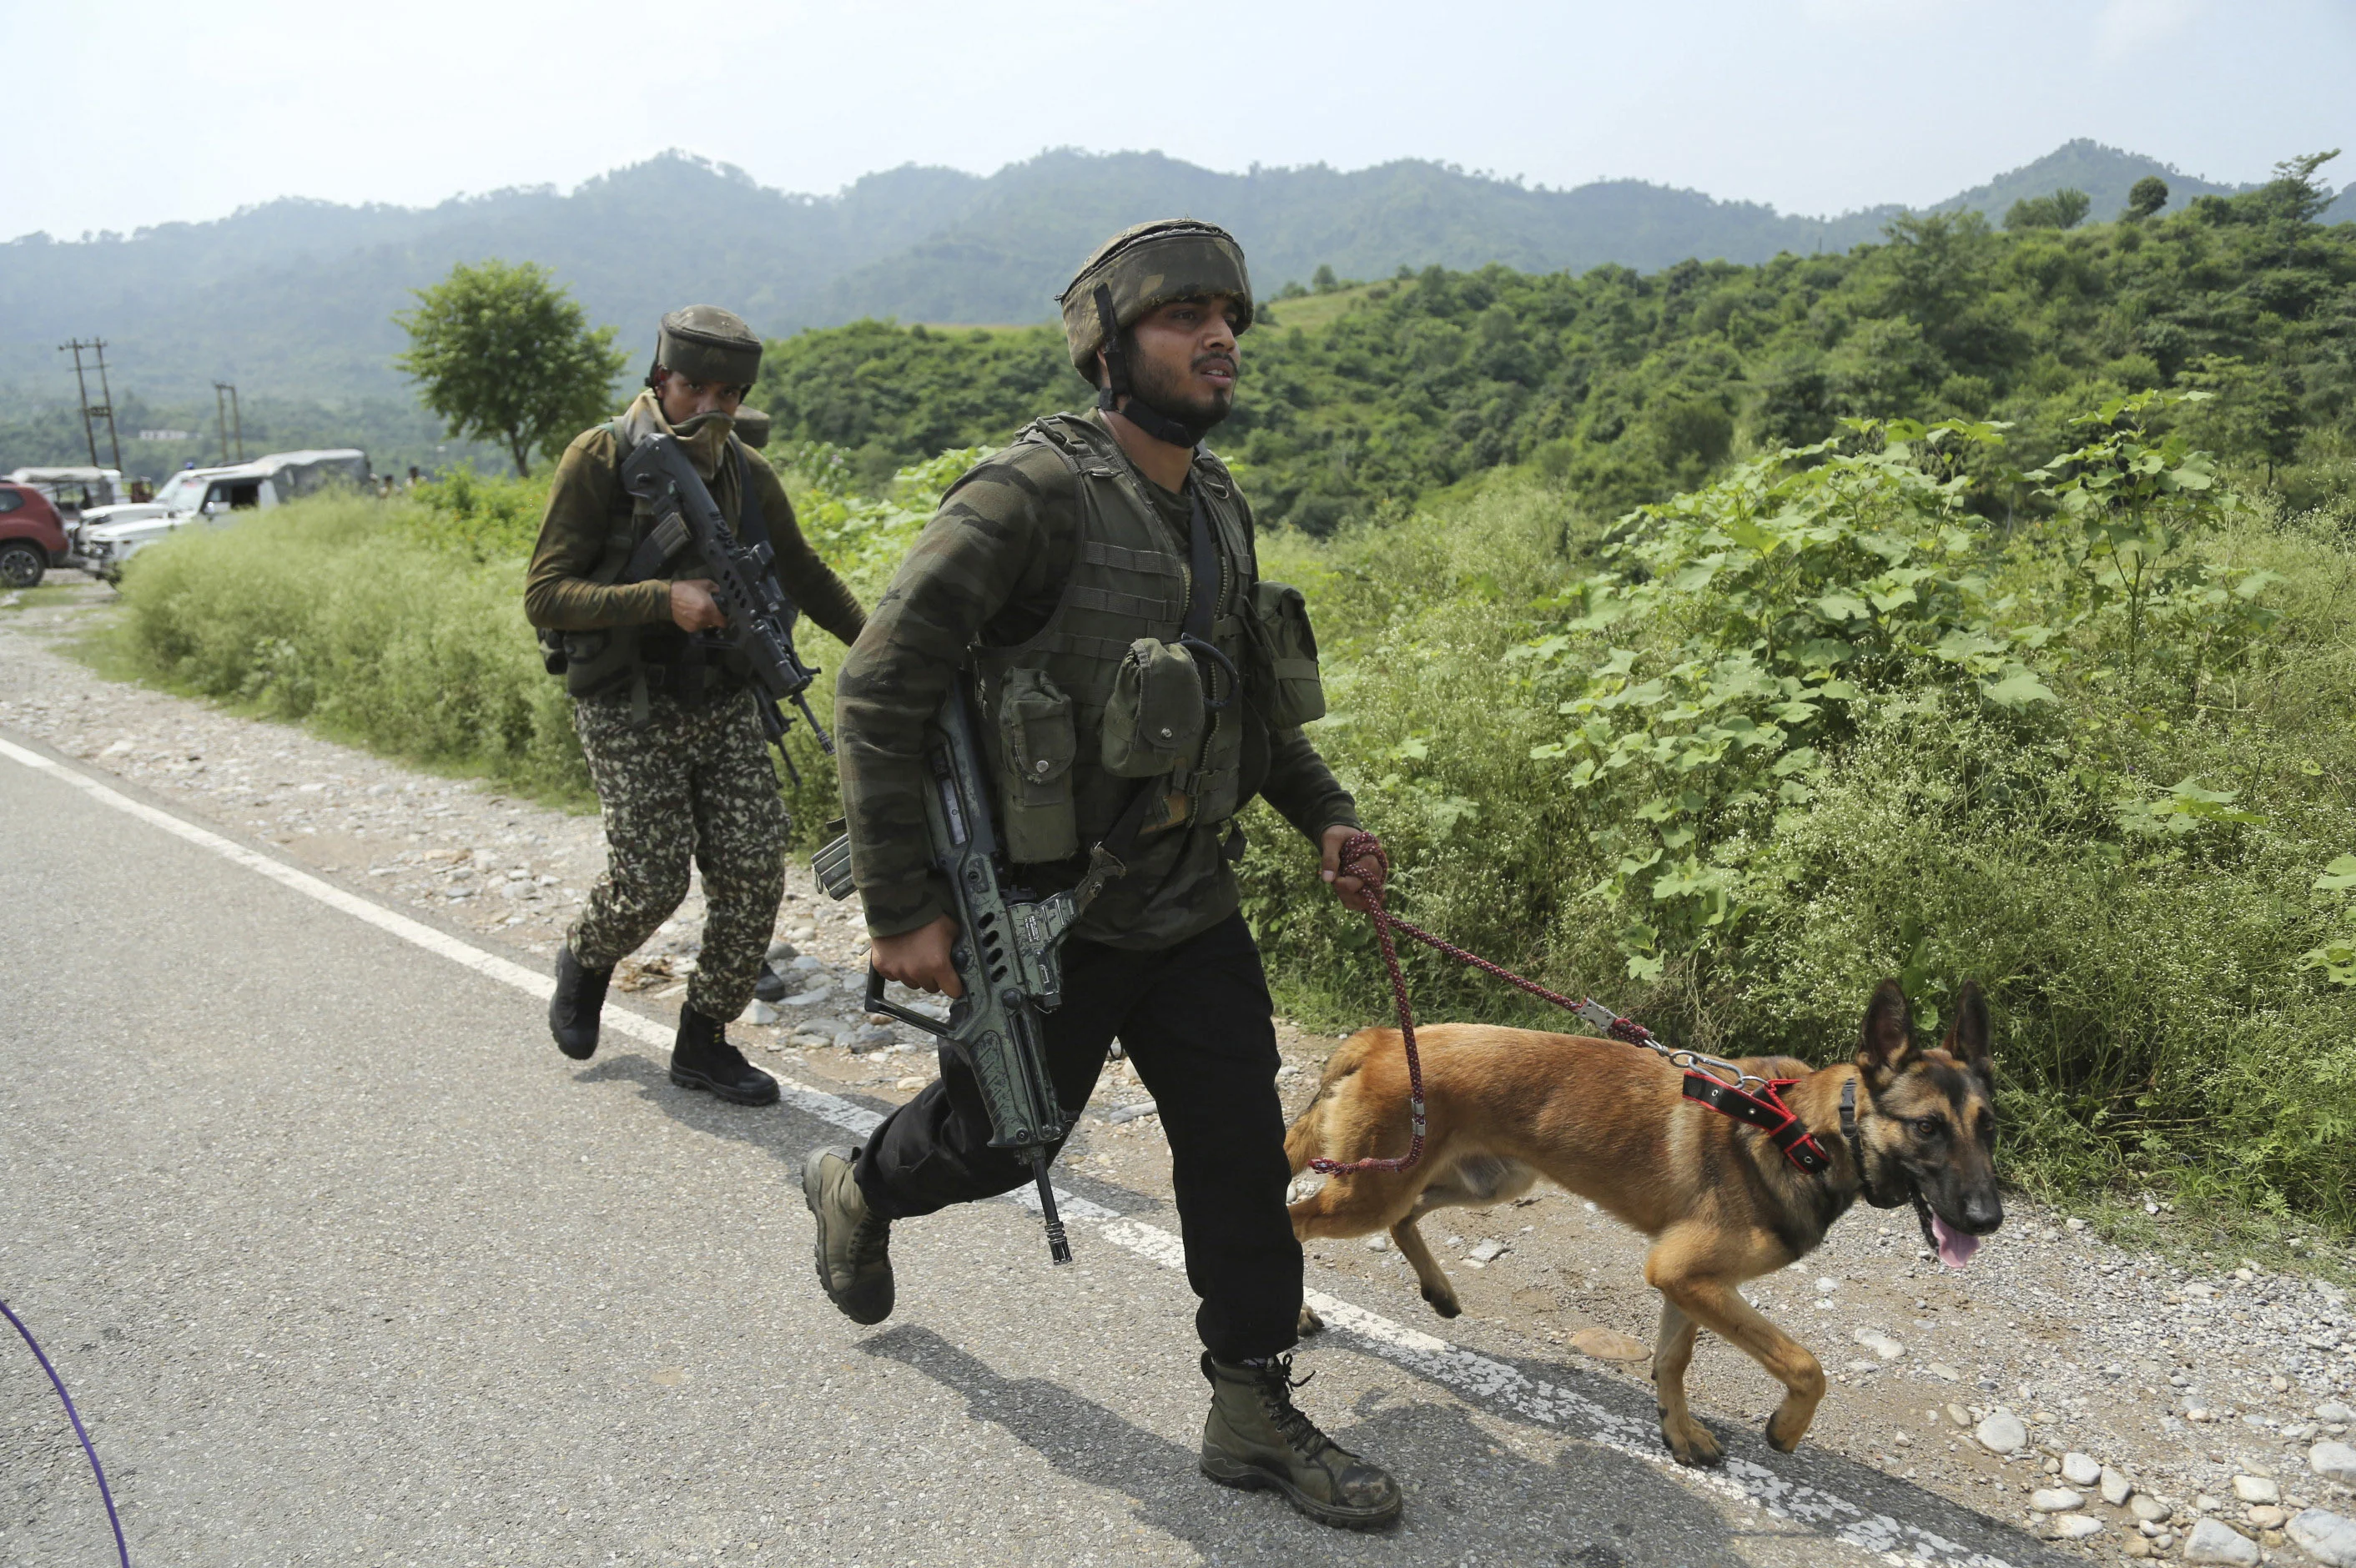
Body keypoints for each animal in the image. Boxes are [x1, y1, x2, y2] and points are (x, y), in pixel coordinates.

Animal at [1281, 970, 1997, 1460]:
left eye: (1989, 1126)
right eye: (1928, 1128)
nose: (1989, 1218)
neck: (1804, 1131)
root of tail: (1379, 1038)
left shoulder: (1690, 1280)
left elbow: (1673, 1362)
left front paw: (1679, 1433)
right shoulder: (1688, 1274)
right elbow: (1805, 1366)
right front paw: (1786, 1428)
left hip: (1485, 1182)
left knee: (1403, 1219)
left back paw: (1439, 1290)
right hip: (1373, 1191)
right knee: (1295, 1222)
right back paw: (1299, 1312)